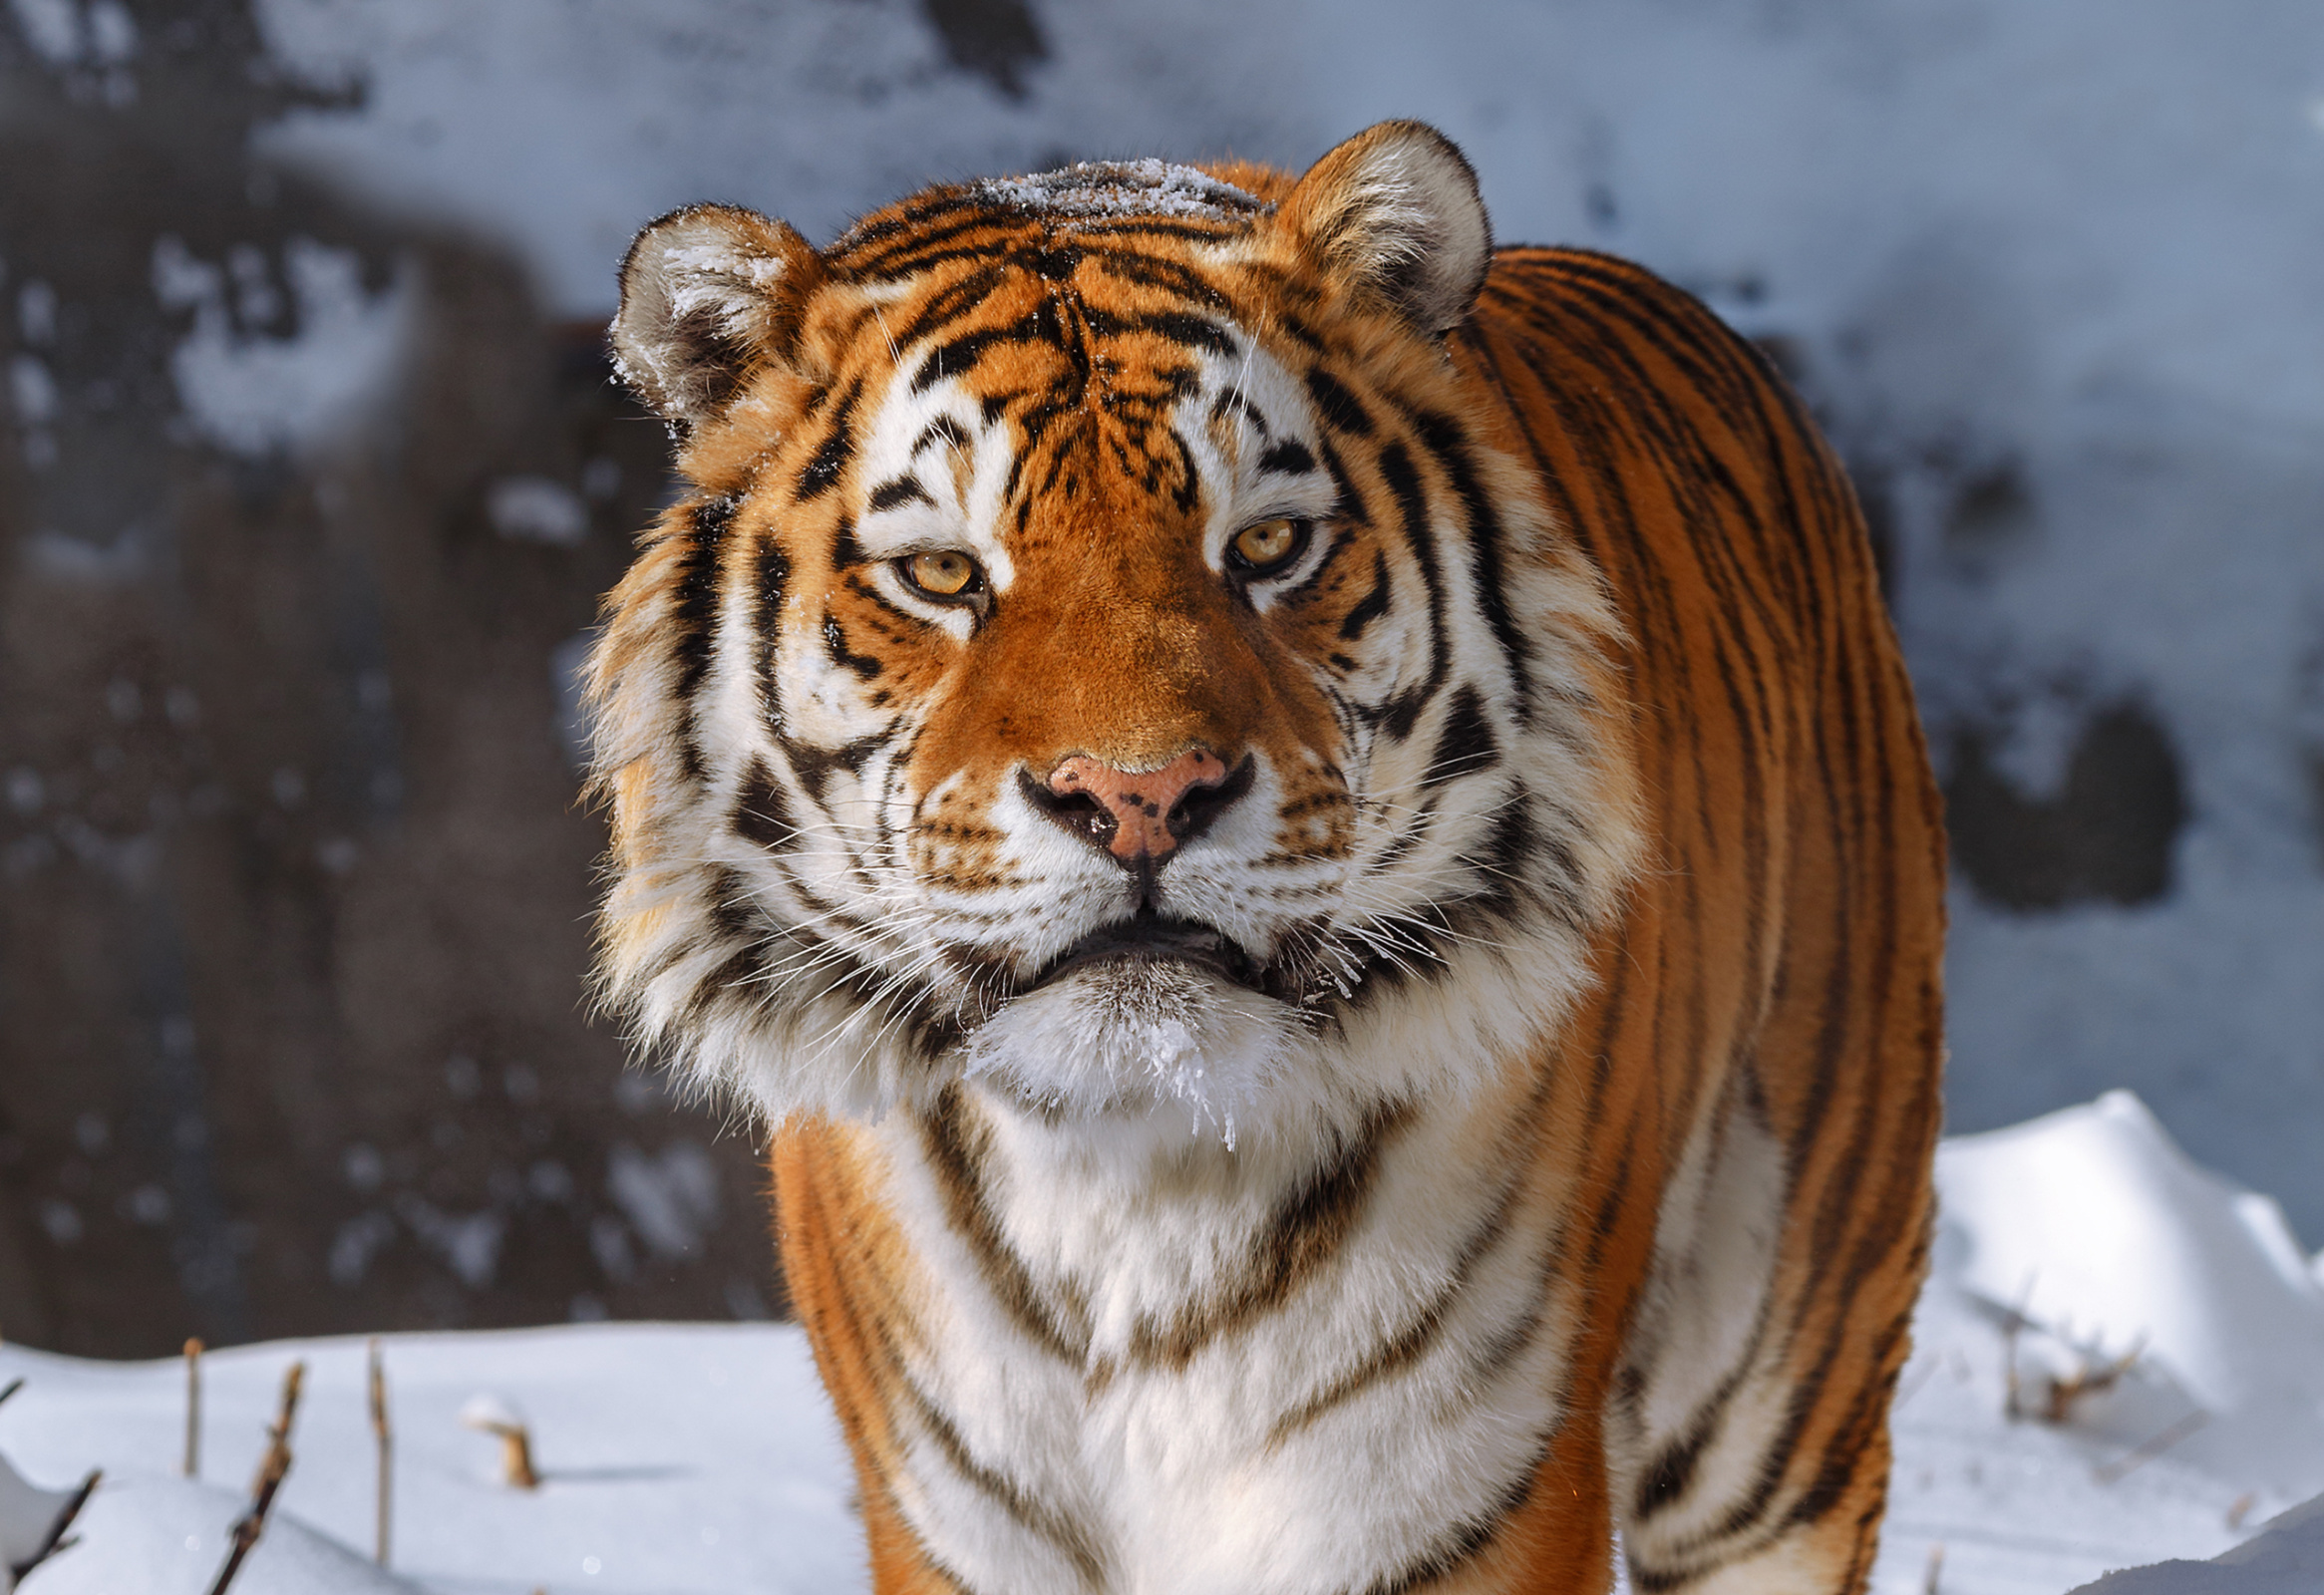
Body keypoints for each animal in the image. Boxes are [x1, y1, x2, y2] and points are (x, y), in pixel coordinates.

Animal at [580, 118, 1942, 1590]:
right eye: (942, 575)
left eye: (1269, 545)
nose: (1138, 797)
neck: (1129, 1180)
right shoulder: (951, 1514)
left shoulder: (1472, 1491)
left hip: (1783, 1365)